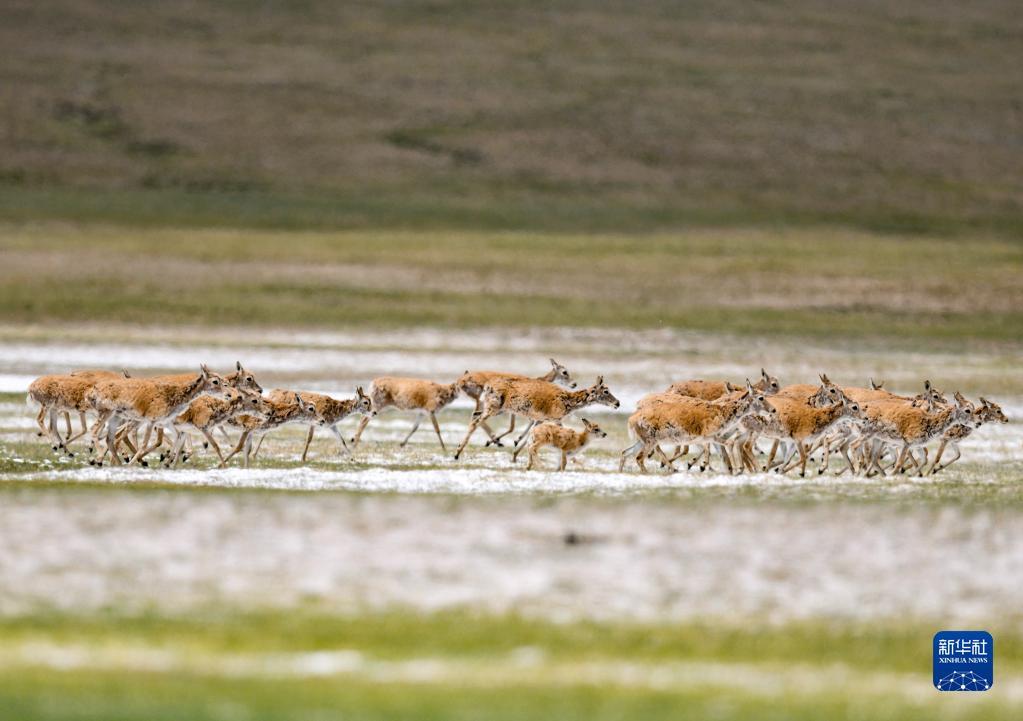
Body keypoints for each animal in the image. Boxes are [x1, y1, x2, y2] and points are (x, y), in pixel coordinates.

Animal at [458, 376, 621, 462]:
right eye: (606, 391)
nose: (618, 403)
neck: (567, 400)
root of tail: (487, 386)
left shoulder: (540, 419)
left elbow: (527, 437)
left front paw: (515, 457)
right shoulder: (556, 418)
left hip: (497, 409)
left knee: (474, 415)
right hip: (494, 408)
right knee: (475, 421)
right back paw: (457, 452)